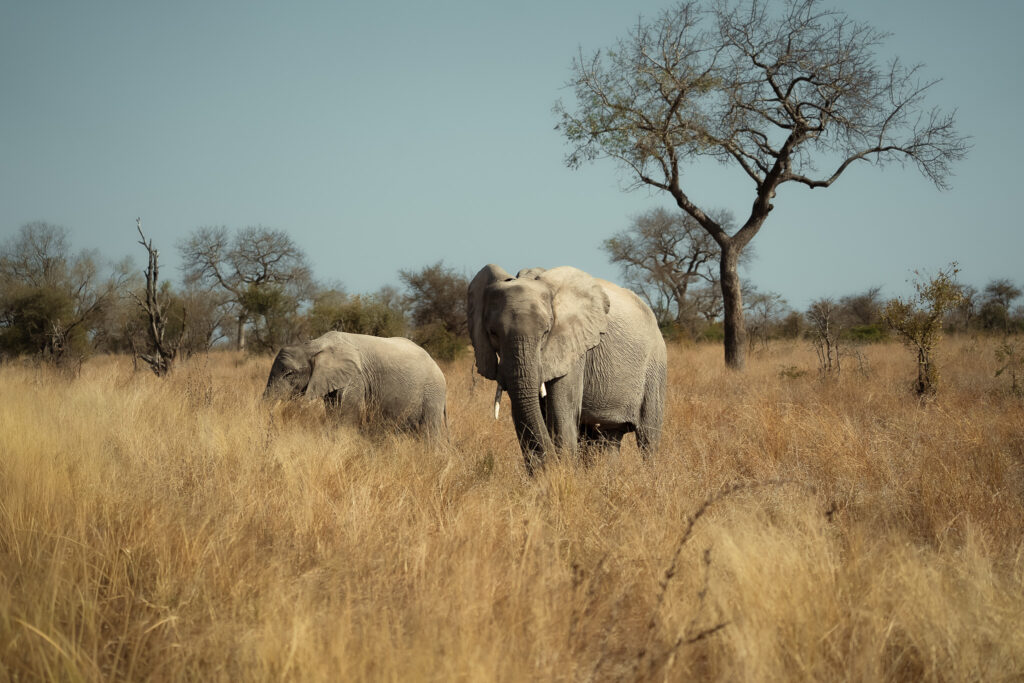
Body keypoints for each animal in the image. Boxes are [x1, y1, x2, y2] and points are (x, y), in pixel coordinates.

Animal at [263, 331, 447, 437]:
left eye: (289, 374)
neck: (313, 345)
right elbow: (333, 412)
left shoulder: (355, 378)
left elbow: (348, 416)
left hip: (432, 394)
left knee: (429, 431)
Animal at [468, 264, 666, 472]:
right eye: (492, 333)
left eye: (546, 332)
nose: (548, 463)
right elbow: (521, 412)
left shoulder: (574, 350)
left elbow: (561, 415)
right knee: (609, 437)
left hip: (655, 365)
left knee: (648, 437)